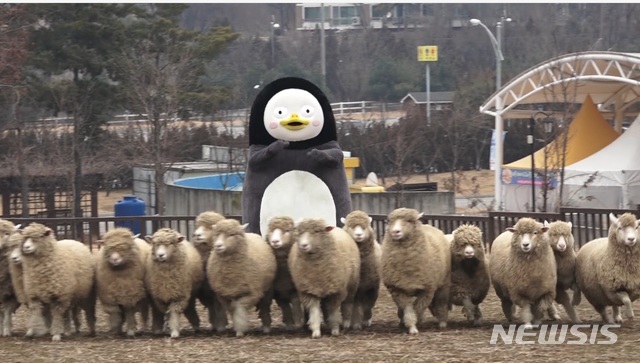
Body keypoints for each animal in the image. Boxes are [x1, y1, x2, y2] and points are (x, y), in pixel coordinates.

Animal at [380, 208, 450, 336]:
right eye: (390, 221)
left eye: (409, 221)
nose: (395, 232)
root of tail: (428, 225)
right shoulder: (398, 289)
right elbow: (408, 309)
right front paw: (410, 326)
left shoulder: (427, 290)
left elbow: (418, 308)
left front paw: (416, 323)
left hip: (444, 283)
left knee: (441, 302)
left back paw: (442, 322)